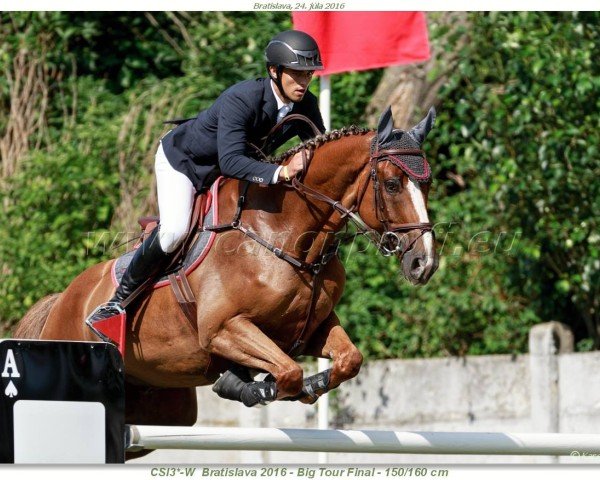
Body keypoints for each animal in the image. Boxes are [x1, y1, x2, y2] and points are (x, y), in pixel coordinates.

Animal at [12, 109, 436, 432]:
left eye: (428, 185)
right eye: (393, 184)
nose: (424, 264)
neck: (286, 236)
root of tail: (63, 299)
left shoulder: (310, 328)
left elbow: (348, 360)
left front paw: (289, 384)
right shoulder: (223, 329)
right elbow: (287, 373)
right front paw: (249, 387)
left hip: (164, 405)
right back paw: (108, 312)